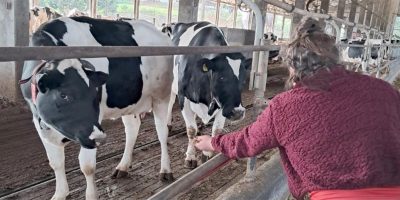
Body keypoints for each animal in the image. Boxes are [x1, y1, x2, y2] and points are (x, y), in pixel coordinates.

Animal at [20, 16, 173, 199]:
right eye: (64, 95)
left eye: (95, 93)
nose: (99, 138)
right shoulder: (39, 121)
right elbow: (56, 162)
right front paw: (60, 193)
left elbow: (87, 166)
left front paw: (91, 195)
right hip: (129, 100)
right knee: (132, 129)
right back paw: (122, 167)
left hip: (161, 96)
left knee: (162, 132)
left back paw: (166, 170)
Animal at [164, 21, 252, 169]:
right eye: (221, 77)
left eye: (243, 79)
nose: (238, 113)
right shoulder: (183, 98)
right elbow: (191, 130)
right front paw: (190, 157)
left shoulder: (222, 105)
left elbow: (216, 130)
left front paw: (207, 154)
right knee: (169, 103)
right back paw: (168, 125)